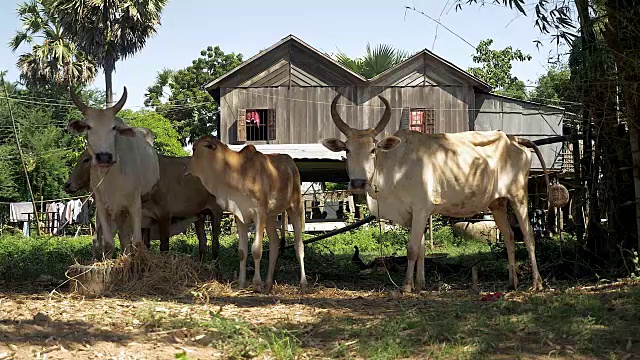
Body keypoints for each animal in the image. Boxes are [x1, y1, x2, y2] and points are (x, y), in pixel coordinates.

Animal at [67, 87, 160, 256]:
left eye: (114, 127)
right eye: (88, 127)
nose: (104, 156)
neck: (112, 179)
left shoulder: (134, 205)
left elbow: (137, 243)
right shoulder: (102, 208)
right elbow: (108, 244)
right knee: (122, 238)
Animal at [185, 136, 308, 294]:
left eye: (194, 149)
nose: (186, 169)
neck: (238, 172)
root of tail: (290, 163)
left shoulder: (259, 214)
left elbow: (256, 250)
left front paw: (256, 283)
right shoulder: (240, 217)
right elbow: (242, 251)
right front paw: (241, 283)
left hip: (295, 207)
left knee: (299, 245)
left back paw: (303, 283)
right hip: (271, 216)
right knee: (274, 243)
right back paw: (268, 284)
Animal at [322, 93, 556, 292]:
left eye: (373, 149)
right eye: (347, 150)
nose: (358, 183)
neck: (394, 166)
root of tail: (514, 139)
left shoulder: (421, 208)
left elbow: (412, 249)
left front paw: (406, 286)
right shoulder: (414, 214)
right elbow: (421, 249)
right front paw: (420, 284)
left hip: (519, 196)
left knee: (528, 236)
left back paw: (536, 283)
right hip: (497, 203)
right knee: (509, 237)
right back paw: (512, 282)